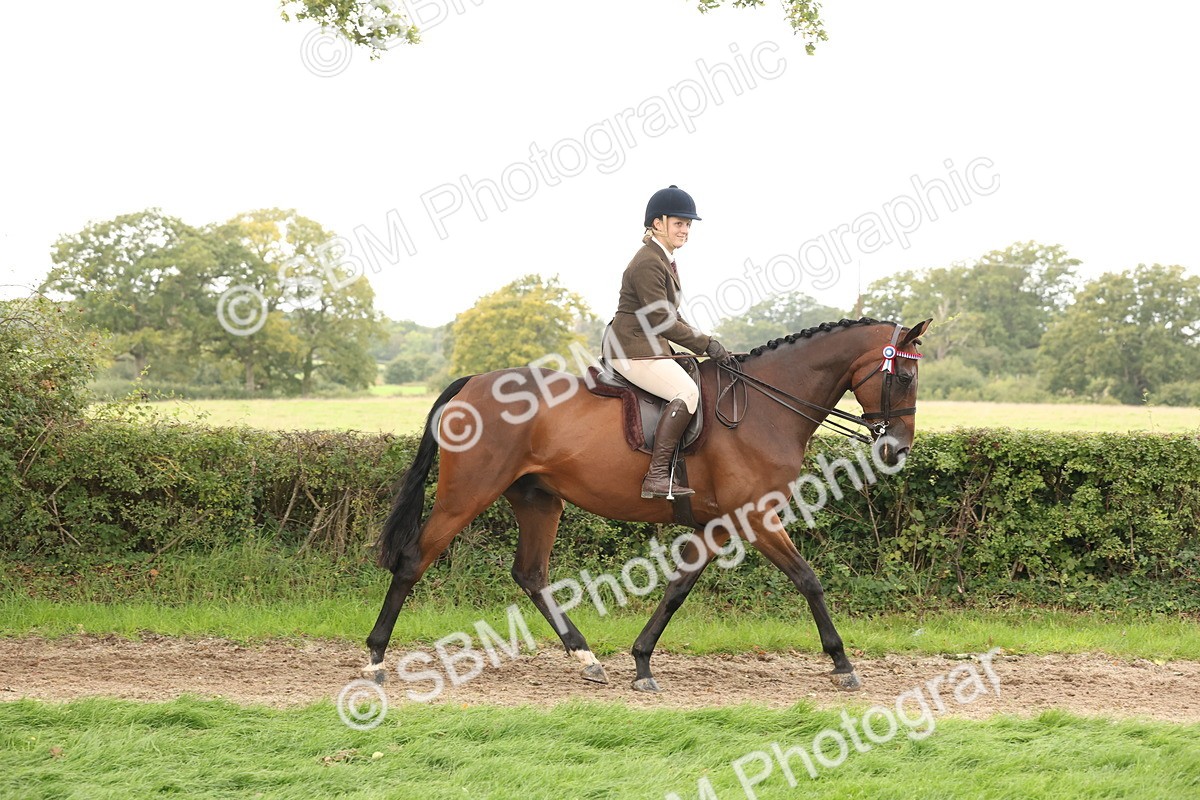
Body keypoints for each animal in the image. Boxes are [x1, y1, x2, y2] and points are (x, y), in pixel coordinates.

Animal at [365, 316, 930, 692]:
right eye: (904, 377)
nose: (897, 449)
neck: (767, 408)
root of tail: (474, 383)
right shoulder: (755, 516)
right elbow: (808, 579)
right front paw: (842, 663)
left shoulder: (719, 522)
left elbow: (678, 587)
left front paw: (641, 662)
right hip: (467, 494)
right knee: (414, 561)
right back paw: (375, 659)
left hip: (538, 500)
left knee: (530, 574)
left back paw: (587, 658)